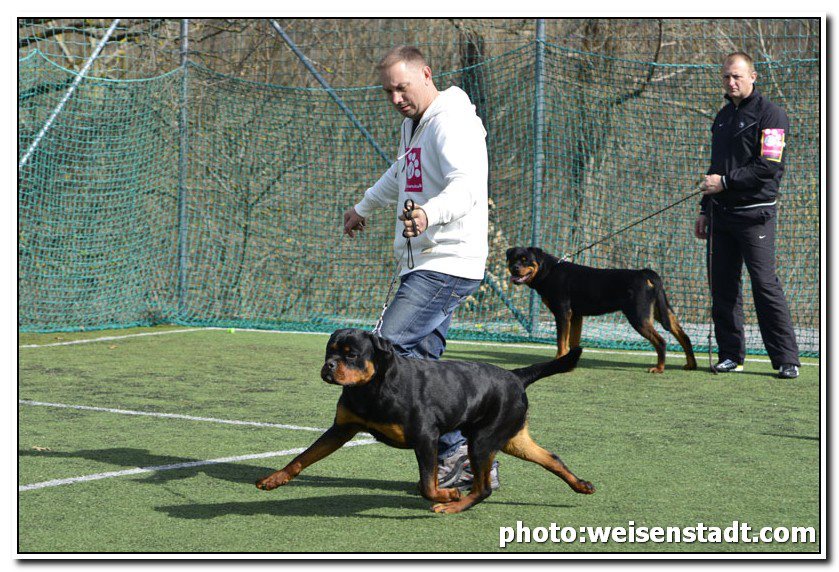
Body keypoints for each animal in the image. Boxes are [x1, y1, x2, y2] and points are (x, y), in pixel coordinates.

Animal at [508, 247, 700, 376]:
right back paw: (691, 364)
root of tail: (646, 273)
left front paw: (558, 361)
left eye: (525, 259)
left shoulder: (563, 313)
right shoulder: (576, 316)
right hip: (662, 311)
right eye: (512, 259)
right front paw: (569, 363)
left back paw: (659, 368)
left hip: (638, 316)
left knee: (661, 341)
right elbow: (573, 342)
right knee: (684, 336)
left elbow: (561, 342)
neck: (548, 271)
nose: (515, 268)